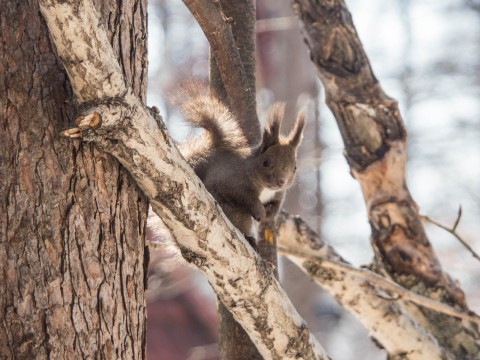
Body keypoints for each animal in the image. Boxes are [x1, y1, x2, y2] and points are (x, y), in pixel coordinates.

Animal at [178, 89, 306, 246]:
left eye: (295, 168)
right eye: (266, 162)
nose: (280, 182)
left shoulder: (279, 194)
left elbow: (276, 205)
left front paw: (269, 214)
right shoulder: (234, 181)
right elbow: (245, 197)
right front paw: (260, 212)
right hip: (235, 212)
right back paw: (250, 239)